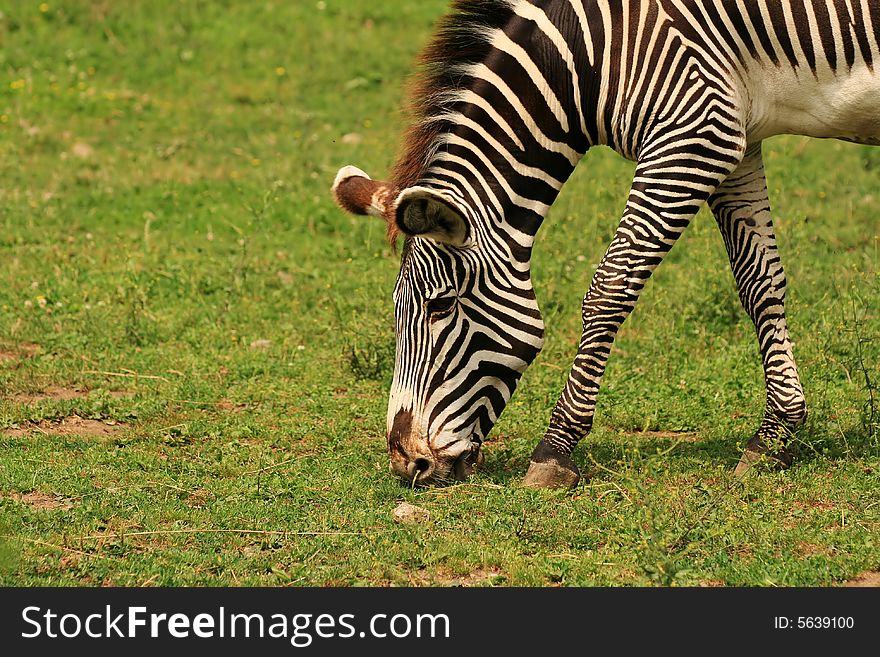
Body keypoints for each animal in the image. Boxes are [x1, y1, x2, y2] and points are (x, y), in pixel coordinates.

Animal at [332, 1, 880, 486]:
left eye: (441, 307)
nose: (408, 464)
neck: (592, 55)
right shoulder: (737, 137)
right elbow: (758, 281)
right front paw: (775, 434)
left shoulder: (695, 136)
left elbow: (611, 287)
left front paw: (555, 449)